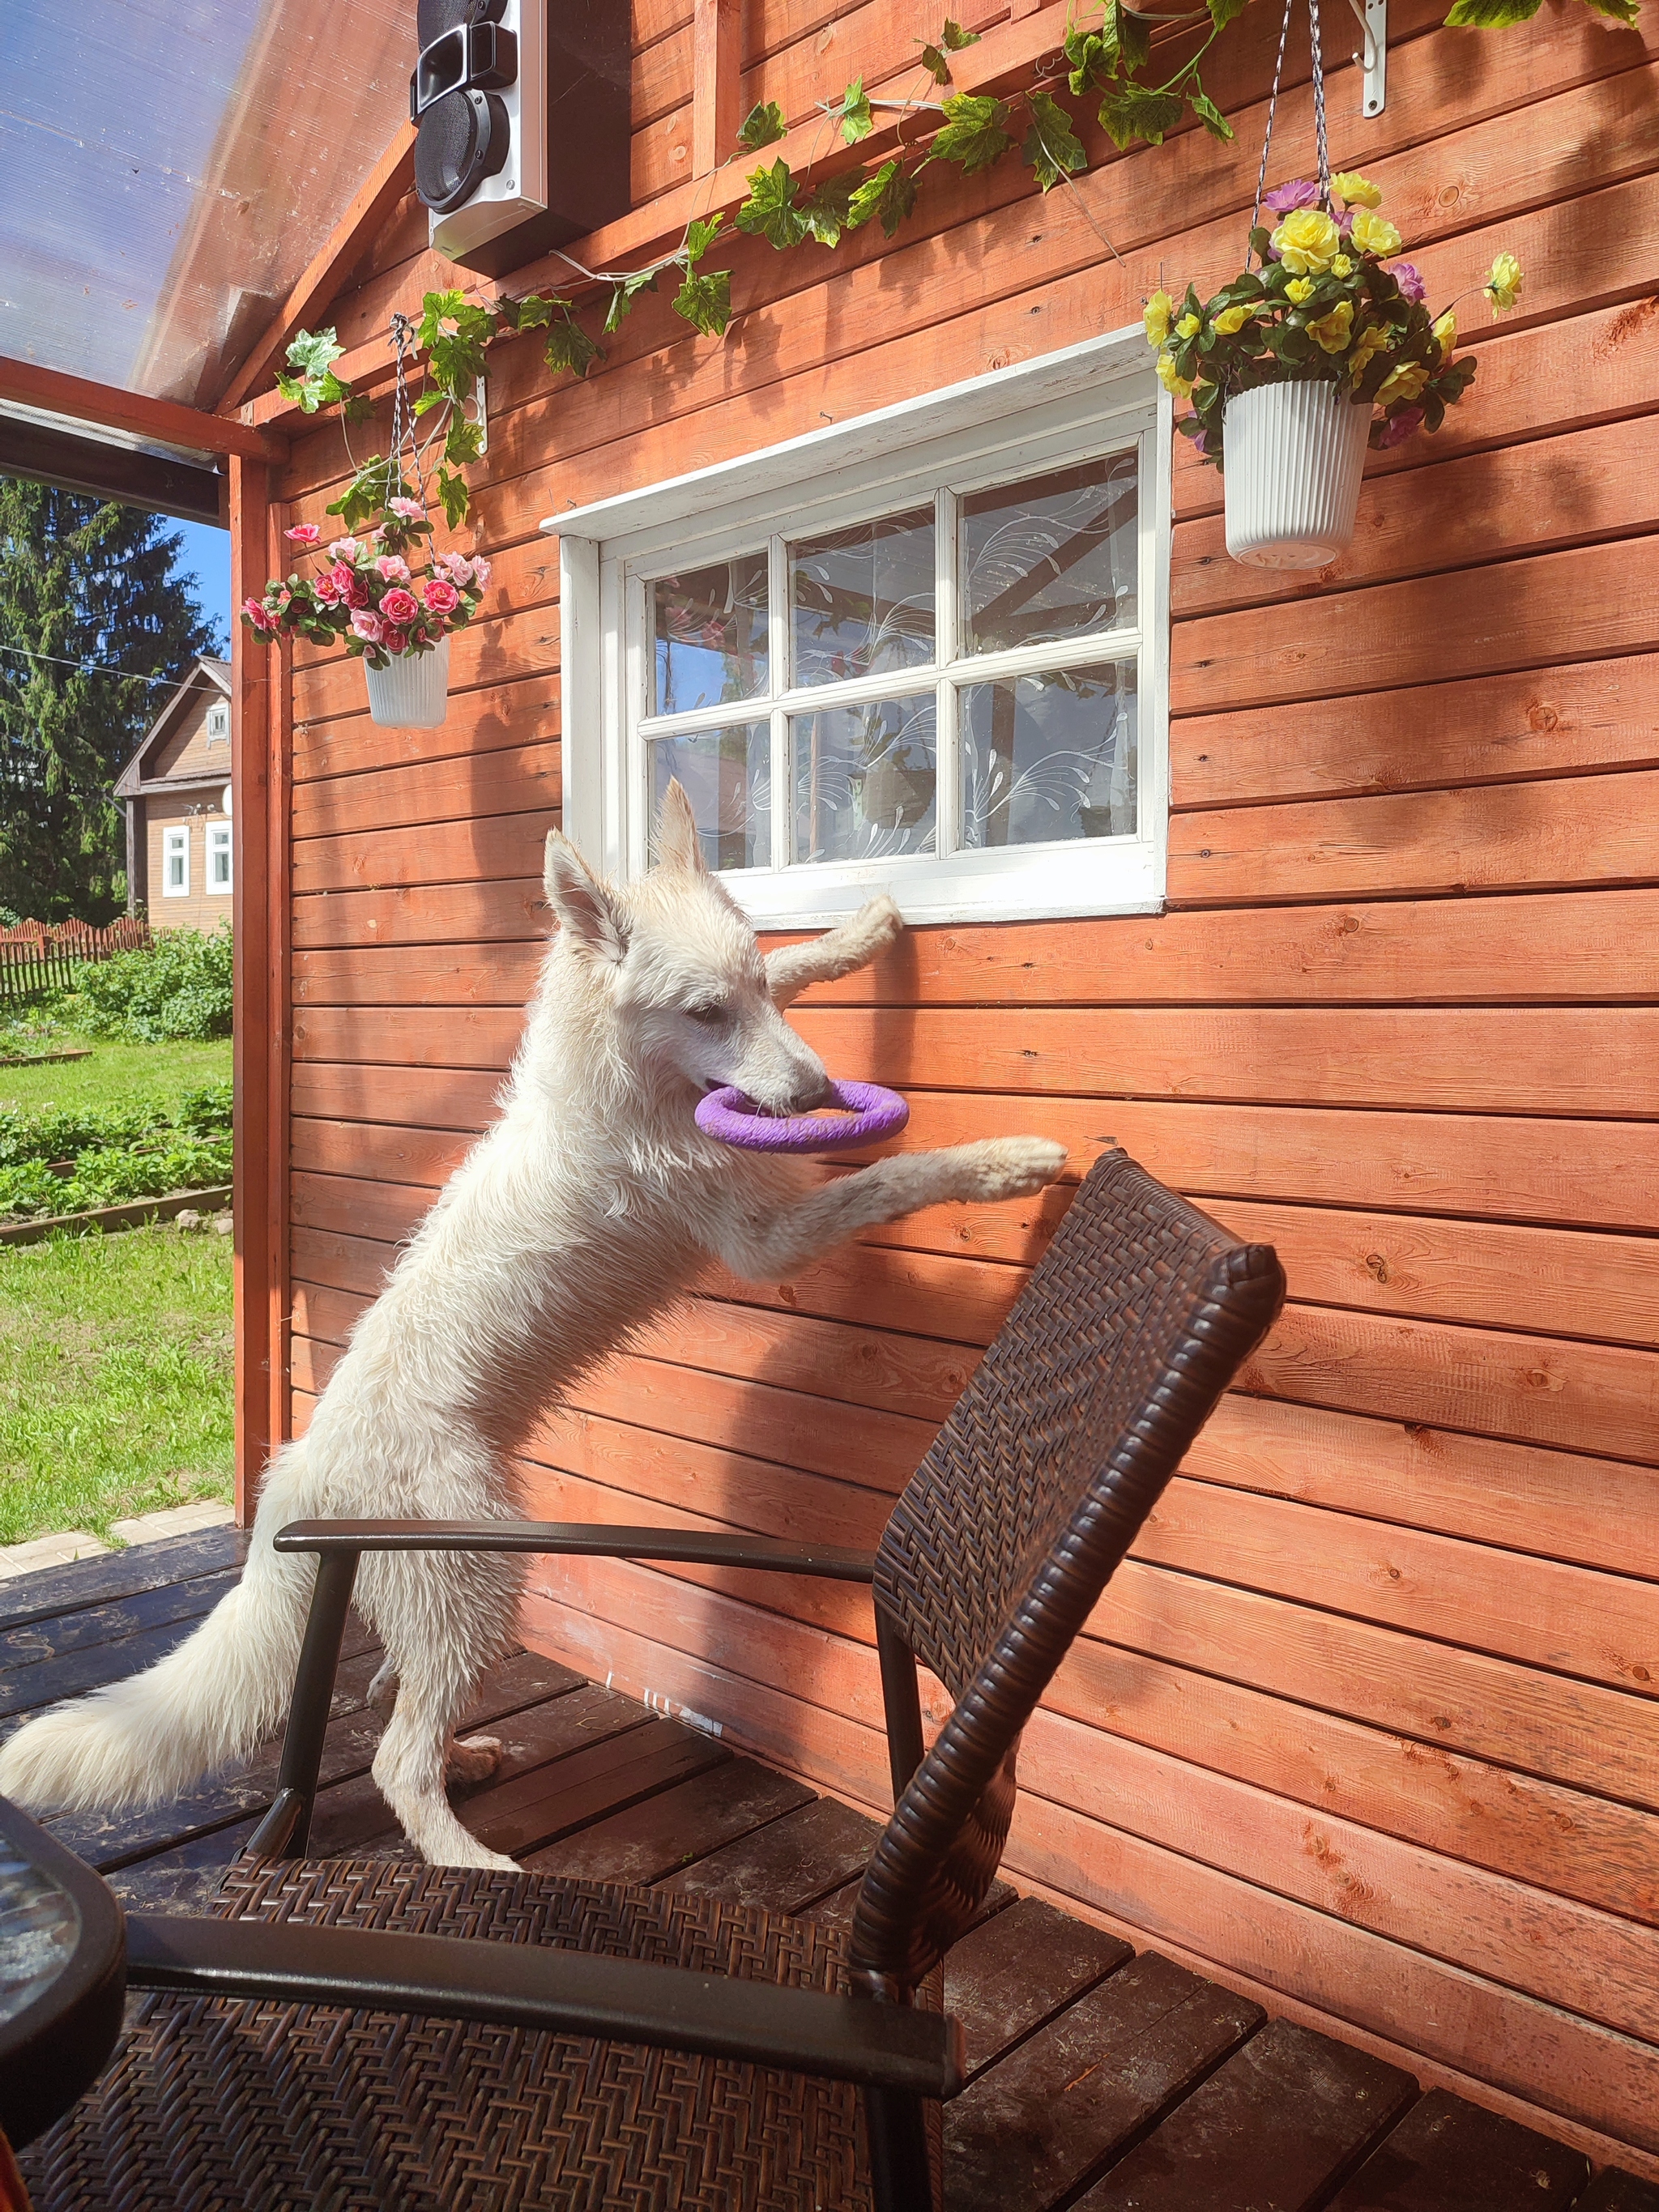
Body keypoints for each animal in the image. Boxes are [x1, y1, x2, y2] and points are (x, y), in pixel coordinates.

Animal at [0, 787, 1066, 1858]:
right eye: (704, 1013)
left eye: (751, 991)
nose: (816, 1097)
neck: (625, 1081)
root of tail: (299, 1475)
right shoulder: (767, 1242)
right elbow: (893, 1178)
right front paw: (1005, 1163)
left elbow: (813, 989)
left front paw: (858, 935)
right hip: (483, 1577)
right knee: (394, 1759)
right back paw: (471, 1860)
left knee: (398, 1699)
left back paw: (465, 1759)